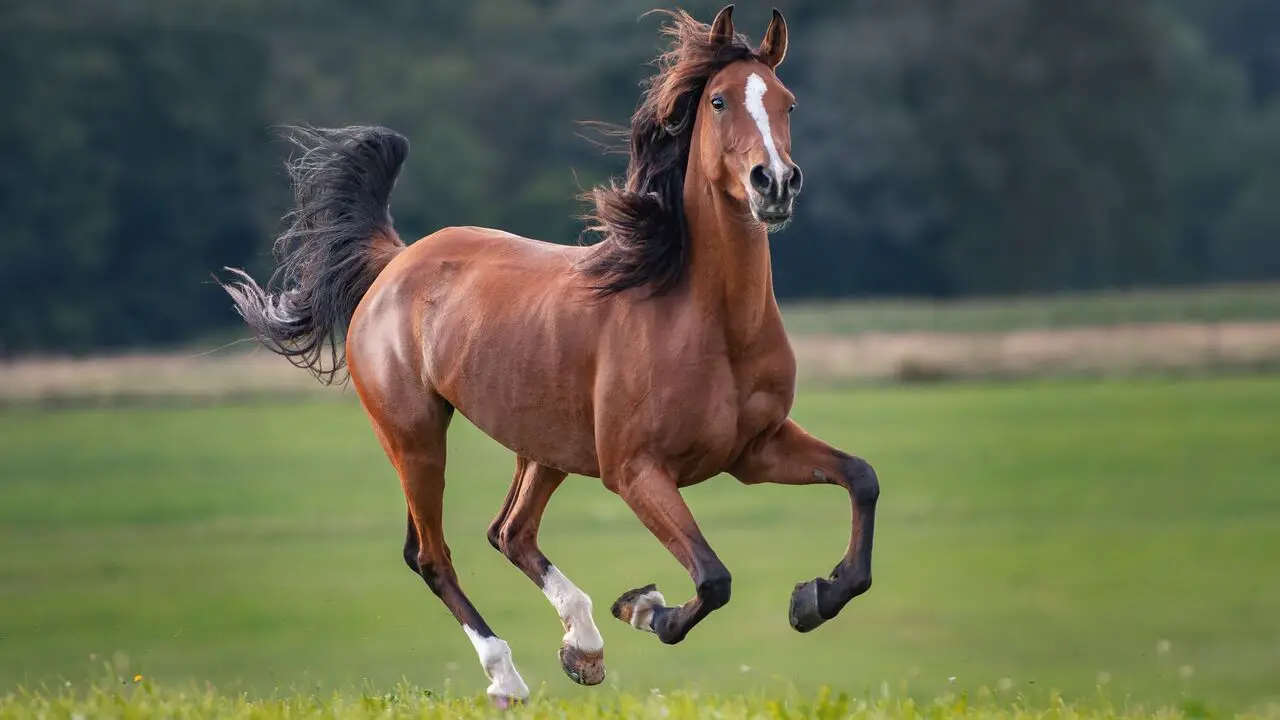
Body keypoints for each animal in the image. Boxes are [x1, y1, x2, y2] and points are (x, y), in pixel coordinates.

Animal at [219, 4, 879, 707]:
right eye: (720, 100)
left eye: (788, 101)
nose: (774, 183)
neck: (708, 321)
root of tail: (395, 263)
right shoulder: (636, 472)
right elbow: (712, 577)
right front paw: (646, 608)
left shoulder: (754, 451)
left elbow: (860, 478)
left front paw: (814, 598)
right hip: (415, 437)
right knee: (432, 554)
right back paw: (508, 677)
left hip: (545, 446)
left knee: (510, 532)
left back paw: (582, 648)